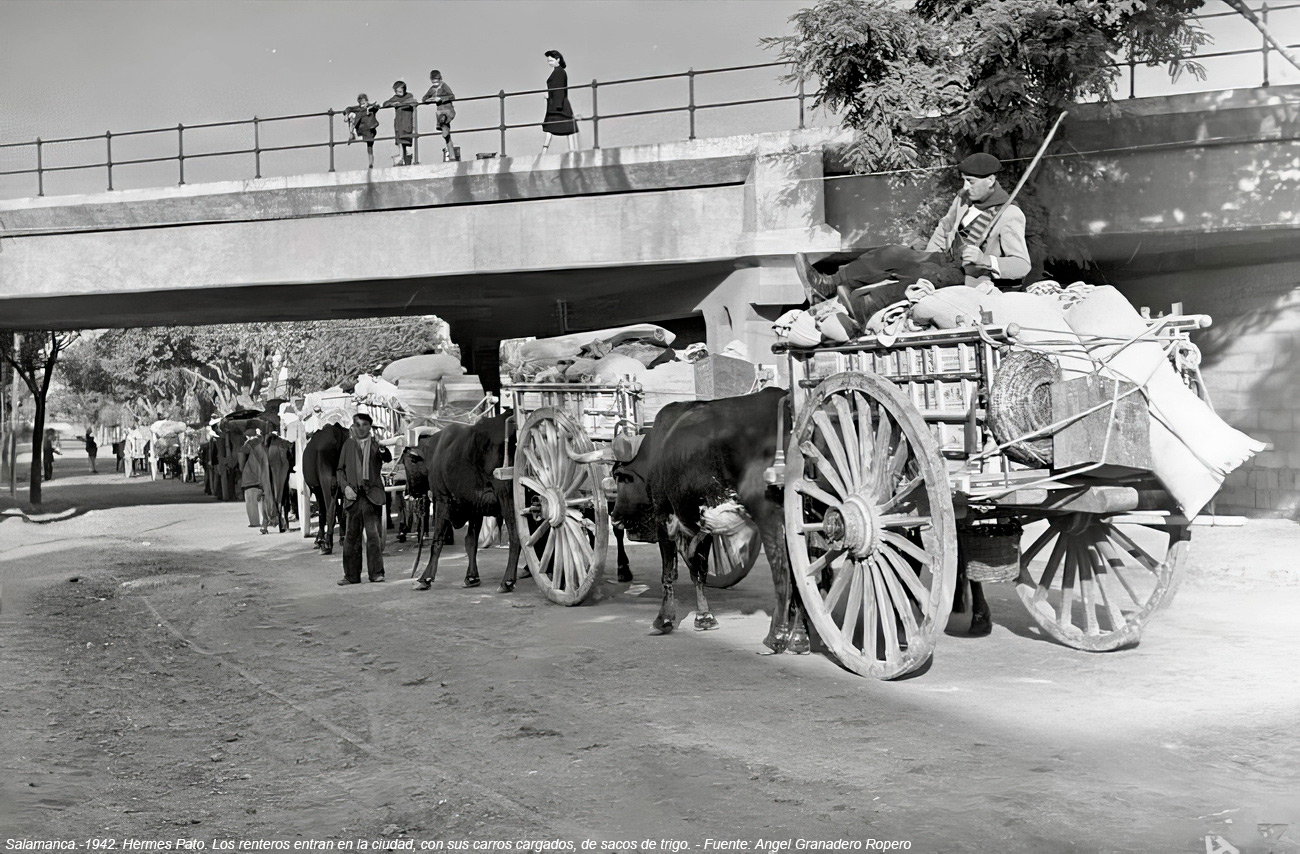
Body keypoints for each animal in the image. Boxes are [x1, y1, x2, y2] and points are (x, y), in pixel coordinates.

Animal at [302, 423, 349, 554]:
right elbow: (340, 510)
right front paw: (342, 536)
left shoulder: (317, 489)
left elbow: (322, 513)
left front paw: (319, 539)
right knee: (342, 510)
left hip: (326, 482)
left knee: (330, 510)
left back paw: (327, 544)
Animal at [411, 414, 522, 593]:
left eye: (408, 463)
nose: (409, 490)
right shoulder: (476, 507)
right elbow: (471, 542)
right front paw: (471, 577)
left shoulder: (442, 499)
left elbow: (437, 540)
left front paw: (425, 578)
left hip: (508, 498)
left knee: (516, 537)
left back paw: (507, 581)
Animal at [607, 387, 808, 653]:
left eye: (620, 477)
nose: (615, 517)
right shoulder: (702, 525)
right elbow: (698, 570)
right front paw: (704, 617)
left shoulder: (665, 516)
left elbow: (669, 572)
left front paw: (664, 619)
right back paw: (799, 637)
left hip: (770, 513)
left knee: (783, 568)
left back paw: (777, 636)